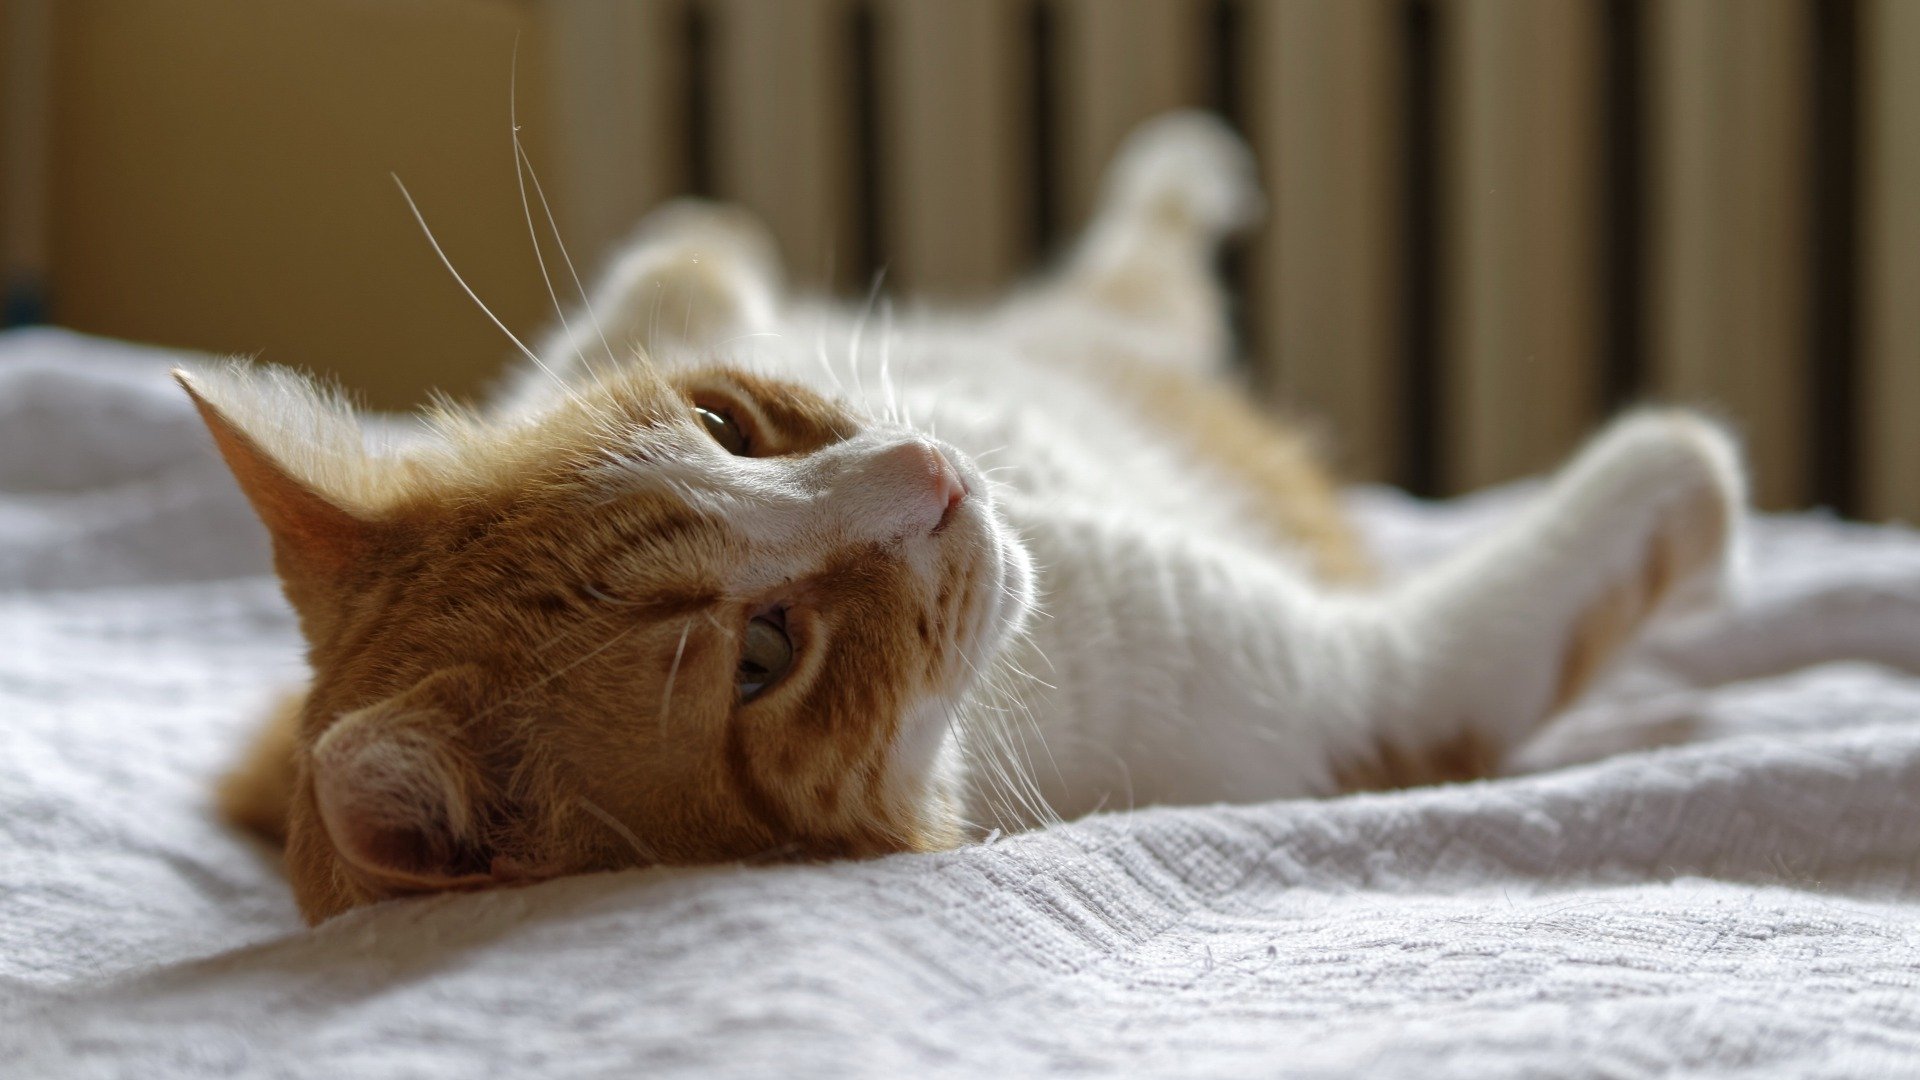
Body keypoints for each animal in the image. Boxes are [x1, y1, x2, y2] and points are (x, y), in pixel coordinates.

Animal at [191, 113, 1743, 922]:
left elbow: (677, 257)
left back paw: (1190, 168)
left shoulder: (632, 319)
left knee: (1132, 267)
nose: (931, 476)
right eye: (764, 657)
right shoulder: (1382, 685)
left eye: (726, 428)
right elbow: (1613, 516)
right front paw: (1697, 474)